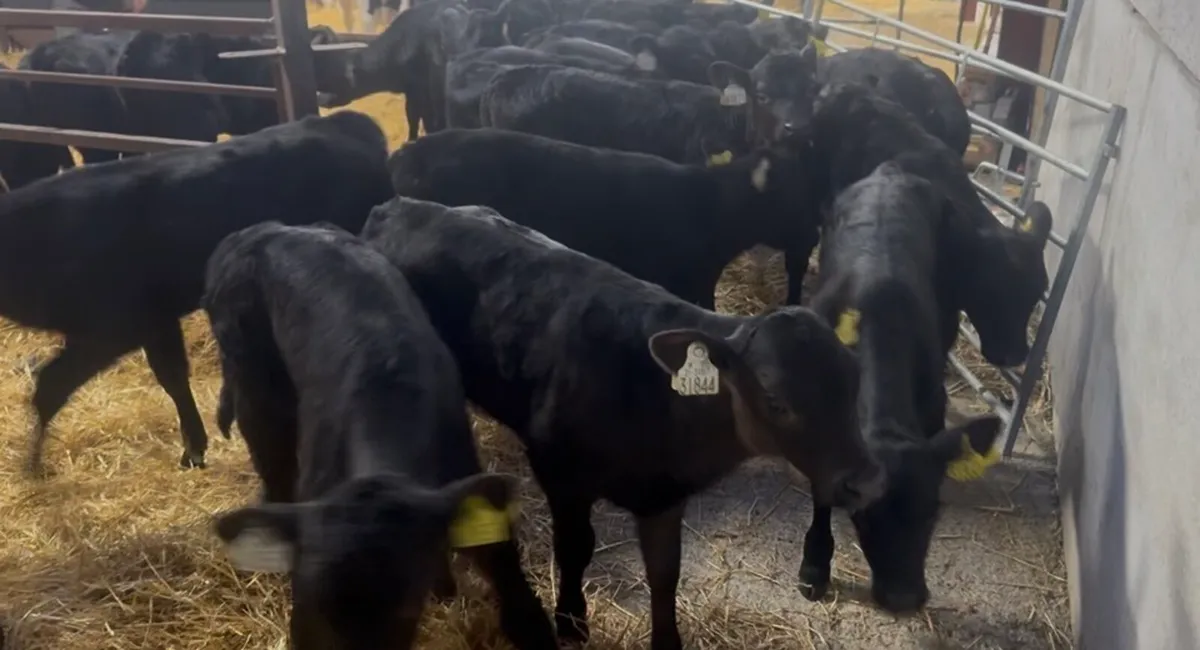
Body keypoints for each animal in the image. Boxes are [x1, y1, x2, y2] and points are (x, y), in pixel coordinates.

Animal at [0, 110, 392, 476]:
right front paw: (194, 448)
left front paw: (32, 464)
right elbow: (171, 377)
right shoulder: (155, 321)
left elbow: (51, 385)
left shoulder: (115, 328)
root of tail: (344, 121)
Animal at [206, 222, 556, 650]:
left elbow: (502, 563)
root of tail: (257, 230)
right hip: (253, 386)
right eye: (315, 610)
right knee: (273, 468)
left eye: (406, 609)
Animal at [360, 196, 885, 650]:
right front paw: (571, 623)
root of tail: (399, 205)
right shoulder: (560, 473)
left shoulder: (663, 497)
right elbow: (576, 547)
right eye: (777, 401)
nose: (866, 481)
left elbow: (665, 573)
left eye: (856, 378)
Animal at [802, 160, 1004, 613]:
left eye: (932, 510)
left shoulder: (932, 409)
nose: (904, 596)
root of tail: (890, 170)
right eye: (863, 516)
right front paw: (814, 566)